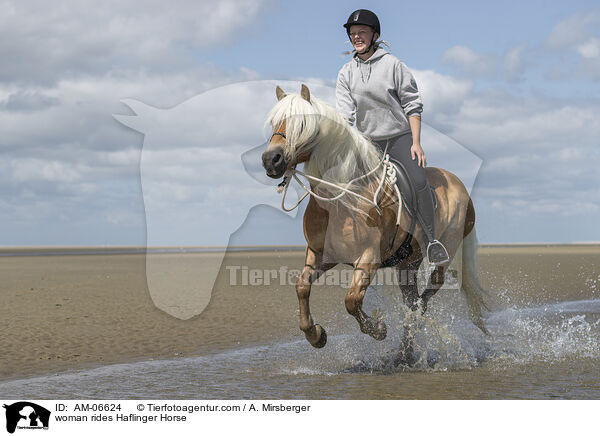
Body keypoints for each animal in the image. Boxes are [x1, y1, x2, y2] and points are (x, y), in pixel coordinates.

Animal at [262, 86, 488, 350]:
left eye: (303, 123)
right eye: (274, 122)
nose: (271, 160)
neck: (341, 198)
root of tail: (458, 185)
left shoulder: (369, 257)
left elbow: (351, 300)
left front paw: (378, 329)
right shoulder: (321, 254)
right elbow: (302, 286)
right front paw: (316, 335)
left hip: (445, 254)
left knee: (428, 292)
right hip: (408, 262)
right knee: (411, 299)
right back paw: (405, 351)